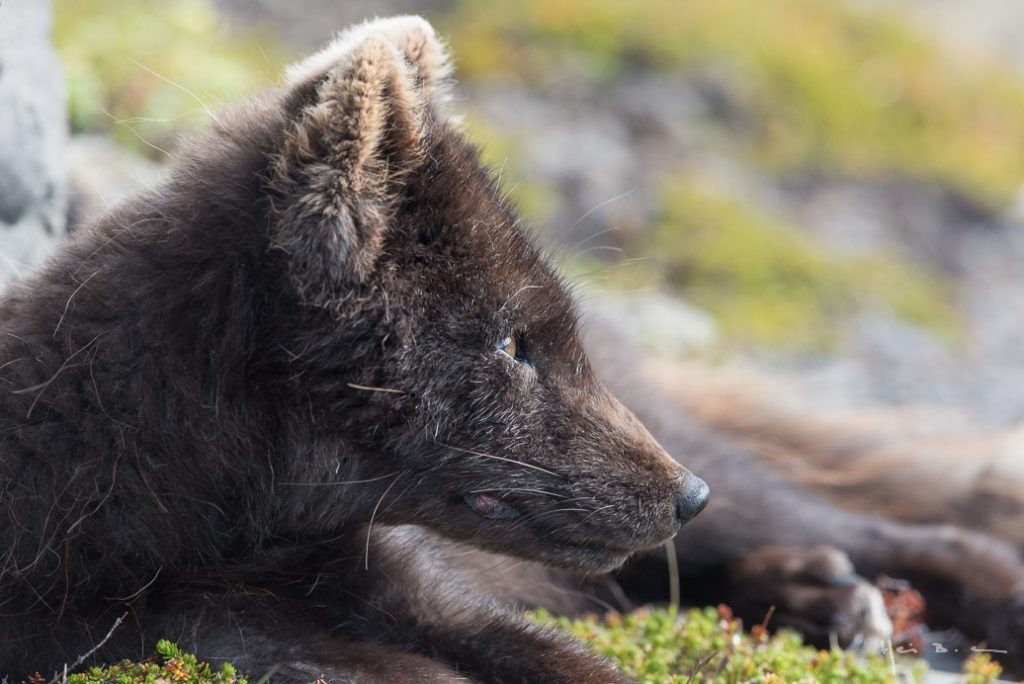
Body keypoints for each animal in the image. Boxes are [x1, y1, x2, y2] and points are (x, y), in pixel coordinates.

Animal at [0, 15, 1019, 684]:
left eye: (537, 333)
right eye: (509, 341)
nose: (683, 495)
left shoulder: (416, 581)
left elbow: (561, 660)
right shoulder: (124, 628)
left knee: (905, 526)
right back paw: (821, 593)